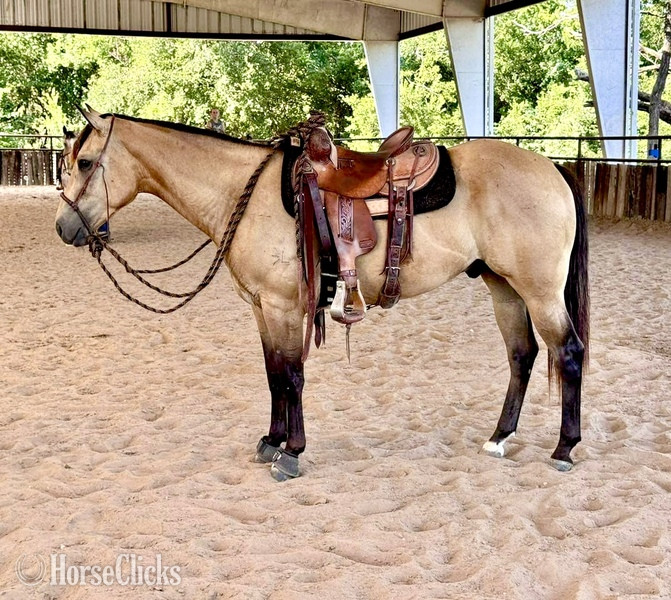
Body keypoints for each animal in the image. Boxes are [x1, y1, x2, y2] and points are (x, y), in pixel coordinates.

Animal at [55, 108, 589, 481]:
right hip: (504, 288)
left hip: (539, 291)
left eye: (85, 162)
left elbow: (292, 376)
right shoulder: (261, 307)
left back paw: (564, 449)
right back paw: (499, 438)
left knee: (568, 352)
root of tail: (553, 168)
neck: (245, 194)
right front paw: (271, 442)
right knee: (522, 355)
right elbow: (273, 374)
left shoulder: (283, 305)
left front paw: (291, 454)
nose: (64, 227)